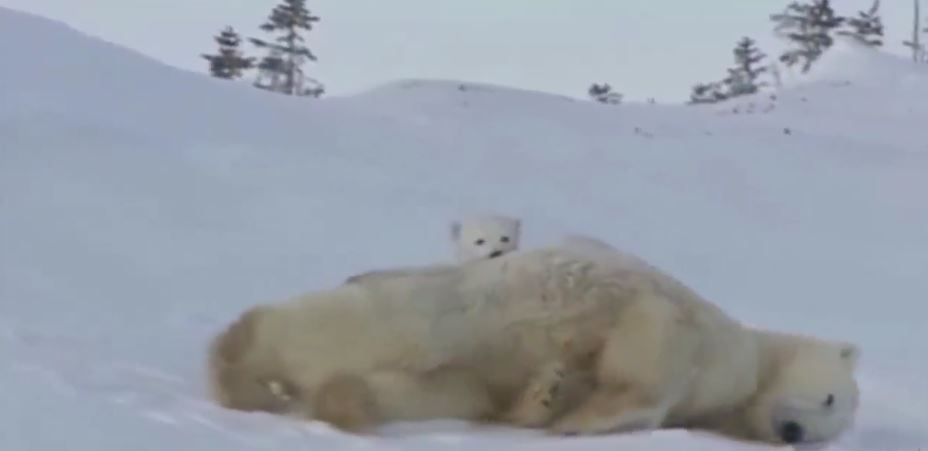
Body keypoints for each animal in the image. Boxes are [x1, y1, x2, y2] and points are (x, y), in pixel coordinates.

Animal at [207, 242, 860, 446]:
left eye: (827, 436)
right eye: (831, 400)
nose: (794, 434)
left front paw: (549, 399)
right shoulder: (692, 330)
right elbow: (651, 357)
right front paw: (578, 419)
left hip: (453, 365)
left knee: (419, 387)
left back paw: (340, 401)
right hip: (464, 307)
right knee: (380, 324)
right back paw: (238, 363)